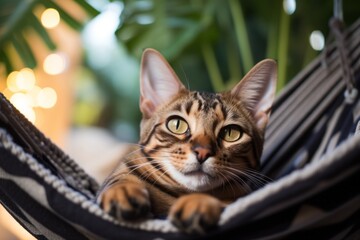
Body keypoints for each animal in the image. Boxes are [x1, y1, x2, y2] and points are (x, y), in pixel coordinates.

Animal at [95, 47, 276, 233]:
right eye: (177, 124)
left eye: (231, 133)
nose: (202, 152)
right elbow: (119, 179)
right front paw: (122, 190)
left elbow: (227, 202)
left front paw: (199, 203)